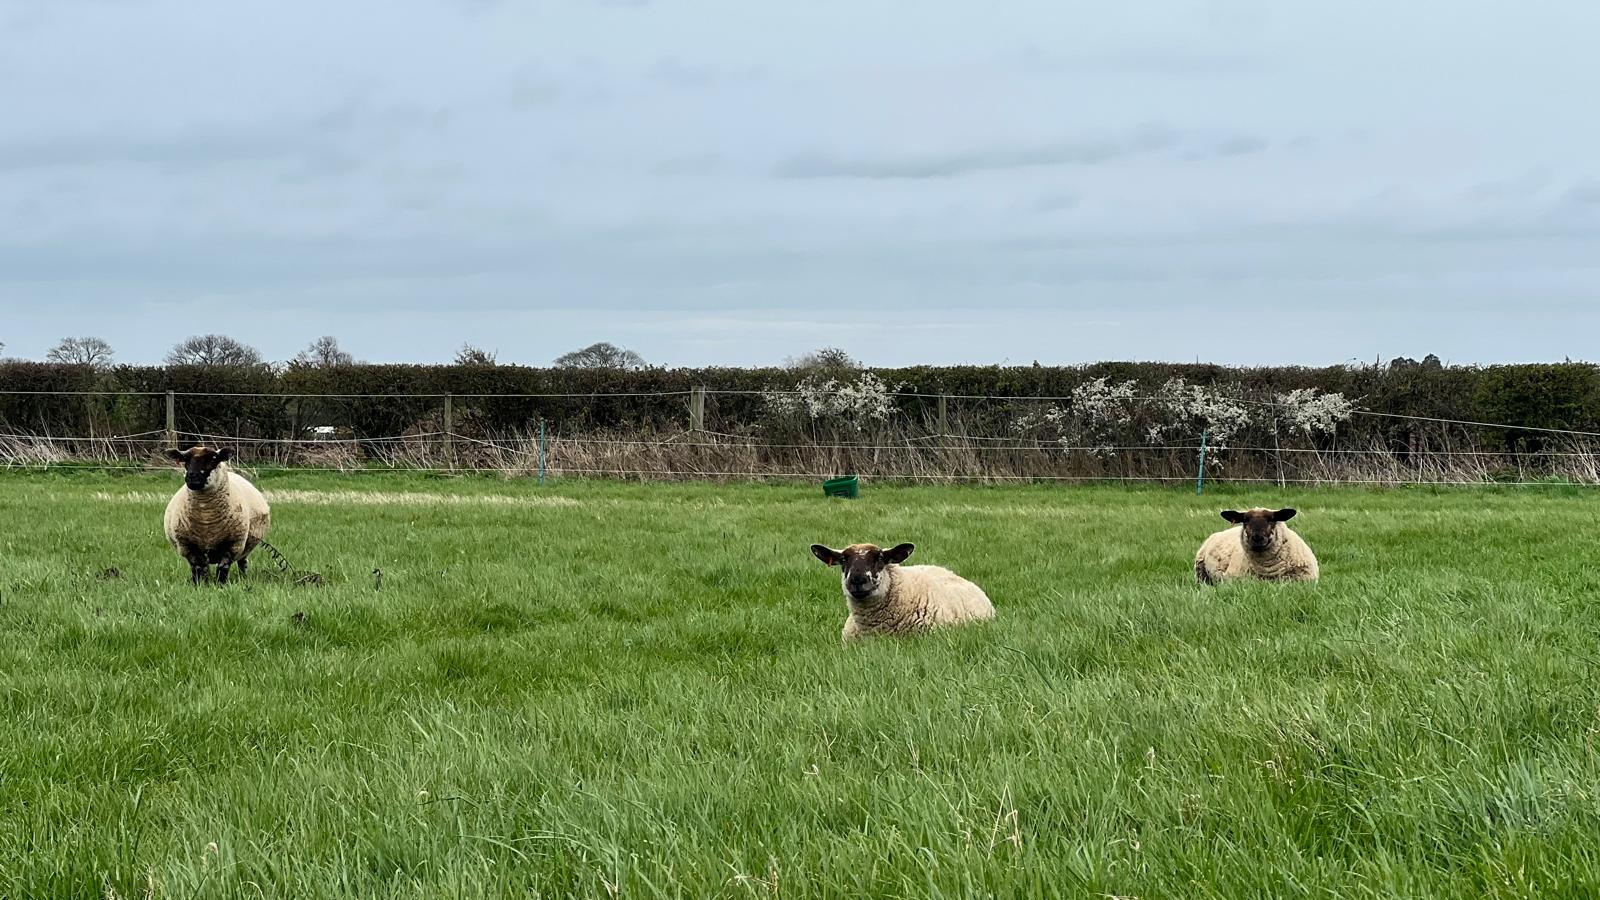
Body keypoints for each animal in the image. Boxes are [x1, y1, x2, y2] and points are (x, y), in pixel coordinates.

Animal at [163, 446, 271, 585]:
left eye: (213, 459)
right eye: (185, 460)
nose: (192, 476)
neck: (206, 517)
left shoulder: (232, 544)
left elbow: (223, 568)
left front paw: (221, 585)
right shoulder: (188, 546)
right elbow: (198, 568)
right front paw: (199, 585)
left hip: (245, 547)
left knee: (242, 562)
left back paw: (243, 577)